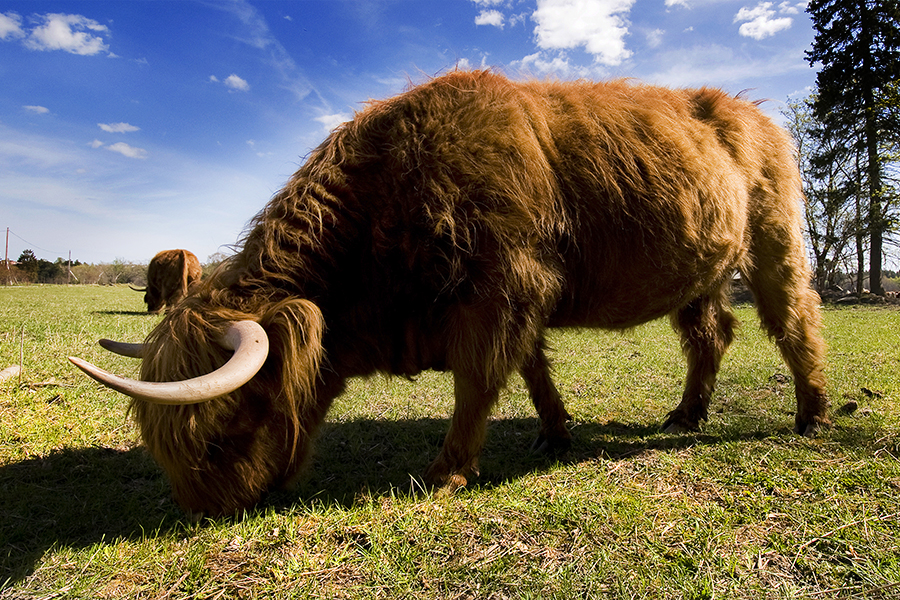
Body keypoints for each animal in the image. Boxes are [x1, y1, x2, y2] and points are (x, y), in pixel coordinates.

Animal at [70, 71, 828, 516]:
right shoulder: (518, 301)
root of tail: (750, 111)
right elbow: (532, 369)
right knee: (710, 335)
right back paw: (686, 413)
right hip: (700, 269)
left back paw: (813, 412)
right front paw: (555, 432)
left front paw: (447, 471)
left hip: (772, 238)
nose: (203, 508)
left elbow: (479, 380)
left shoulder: (502, 290)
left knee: (794, 319)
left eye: (220, 430)